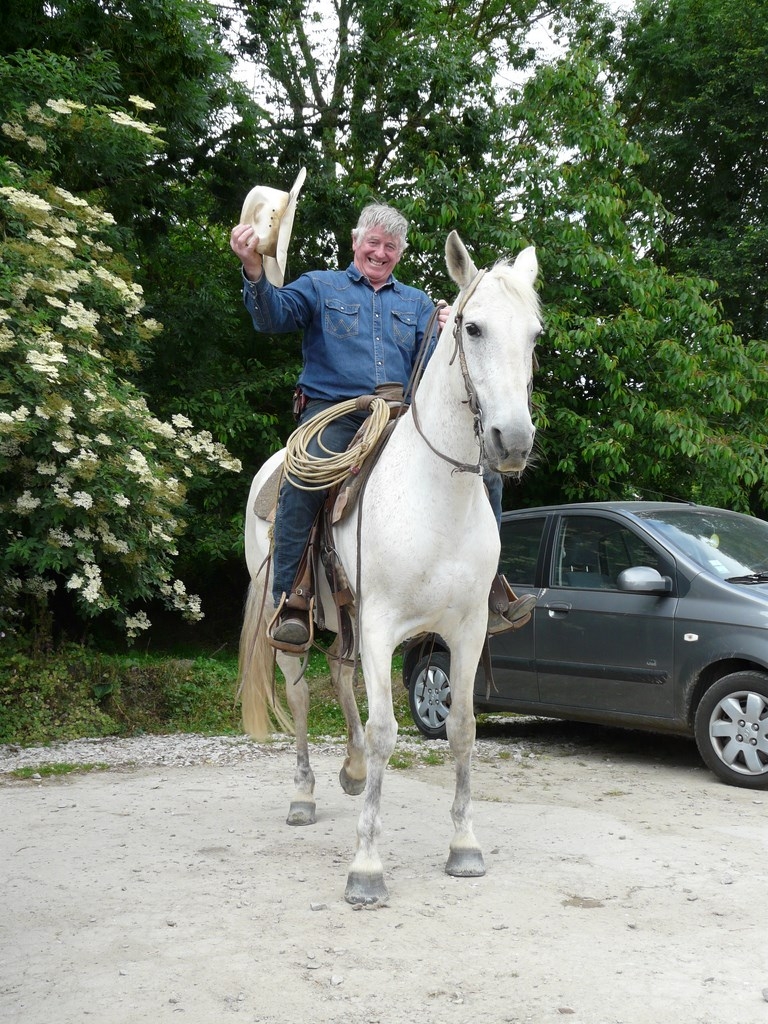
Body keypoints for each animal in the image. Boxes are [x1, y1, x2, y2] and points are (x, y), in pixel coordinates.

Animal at [239, 230, 540, 905]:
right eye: (473, 328)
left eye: (534, 334)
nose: (511, 442)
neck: (436, 500)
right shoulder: (380, 624)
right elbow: (384, 733)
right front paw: (367, 868)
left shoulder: (466, 631)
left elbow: (461, 727)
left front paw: (464, 846)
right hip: (298, 620)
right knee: (302, 691)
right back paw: (304, 795)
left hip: (347, 617)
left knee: (339, 671)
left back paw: (350, 771)